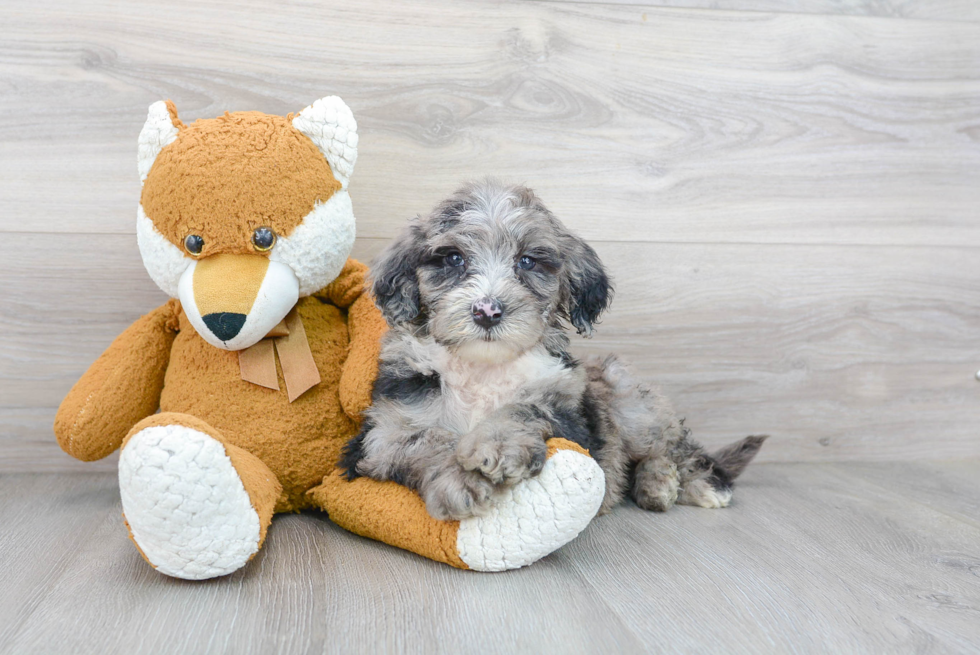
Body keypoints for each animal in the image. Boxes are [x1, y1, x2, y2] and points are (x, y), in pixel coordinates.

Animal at [344, 182, 764, 520]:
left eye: (527, 261)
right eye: (453, 259)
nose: (488, 311)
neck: (484, 367)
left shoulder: (572, 420)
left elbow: (525, 409)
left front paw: (497, 445)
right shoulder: (384, 432)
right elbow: (426, 441)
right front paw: (460, 481)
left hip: (631, 402)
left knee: (672, 447)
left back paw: (677, 484)